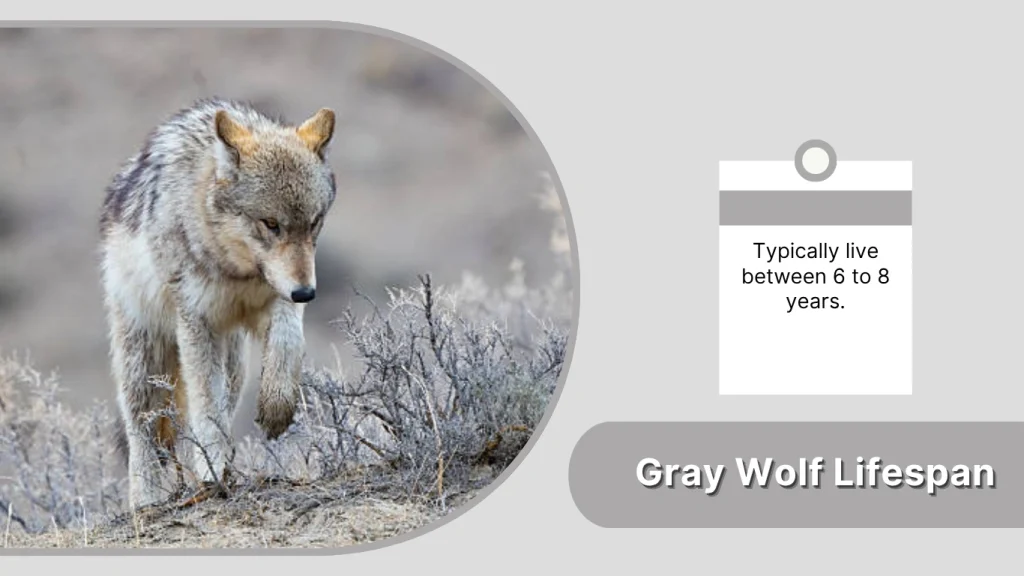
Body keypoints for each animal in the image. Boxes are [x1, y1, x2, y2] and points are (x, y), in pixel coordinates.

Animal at [98, 98, 337, 509]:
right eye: (270, 224)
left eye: (314, 223)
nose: (307, 293)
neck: (237, 272)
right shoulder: (196, 323)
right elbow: (206, 407)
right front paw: (212, 470)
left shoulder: (281, 297)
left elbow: (288, 344)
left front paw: (277, 406)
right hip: (145, 361)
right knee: (143, 430)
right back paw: (146, 503)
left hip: (235, 360)